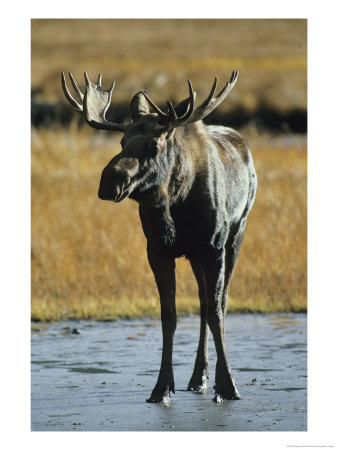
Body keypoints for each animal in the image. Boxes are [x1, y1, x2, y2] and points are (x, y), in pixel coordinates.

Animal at [61, 71, 256, 404]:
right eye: (122, 141)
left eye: (153, 145)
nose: (109, 181)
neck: (175, 205)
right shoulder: (158, 251)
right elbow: (169, 316)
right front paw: (162, 387)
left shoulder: (214, 246)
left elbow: (217, 312)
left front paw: (228, 385)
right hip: (194, 255)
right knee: (202, 301)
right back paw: (197, 377)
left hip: (236, 233)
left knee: (219, 301)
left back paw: (209, 377)